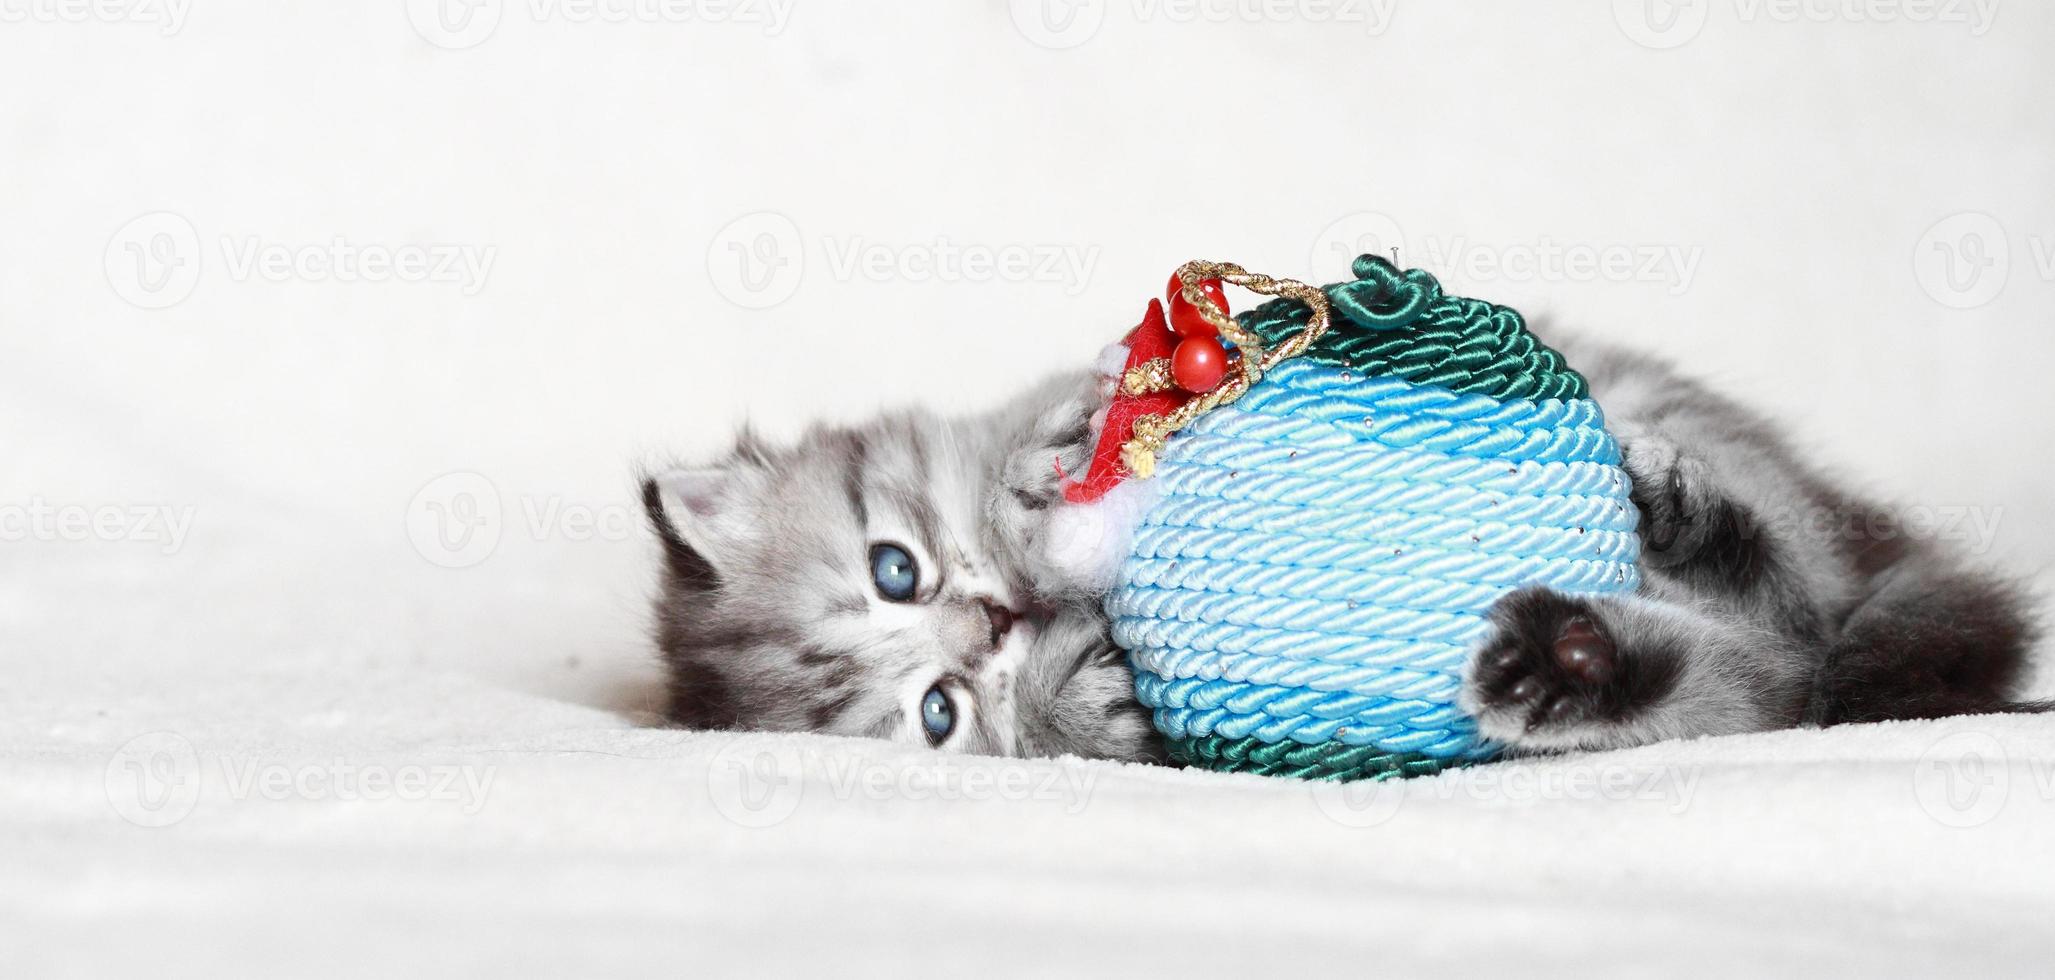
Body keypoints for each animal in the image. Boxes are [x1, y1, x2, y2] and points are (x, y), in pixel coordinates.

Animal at [637, 328, 2038, 756]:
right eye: (938, 711)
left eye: (897, 568)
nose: (994, 623)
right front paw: (1077, 698)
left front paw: (1044, 479)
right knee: (1776, 679)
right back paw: (1571, 663)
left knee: (1803, 626)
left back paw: (1680, 521)